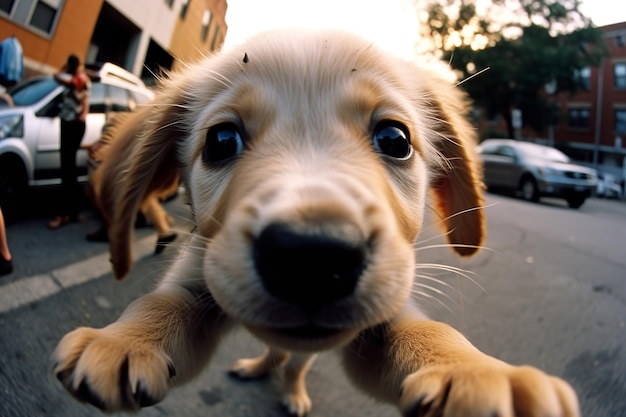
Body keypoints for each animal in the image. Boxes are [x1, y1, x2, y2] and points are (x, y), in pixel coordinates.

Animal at [51, 30, 576, 416]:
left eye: (395, 138)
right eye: (221, 140)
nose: (311, 257)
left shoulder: (382, 322)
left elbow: (429, 333)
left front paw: (474, 374)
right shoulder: (198, 275)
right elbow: (160, 305)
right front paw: (122, 341)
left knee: (294, 363)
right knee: (278, 353)